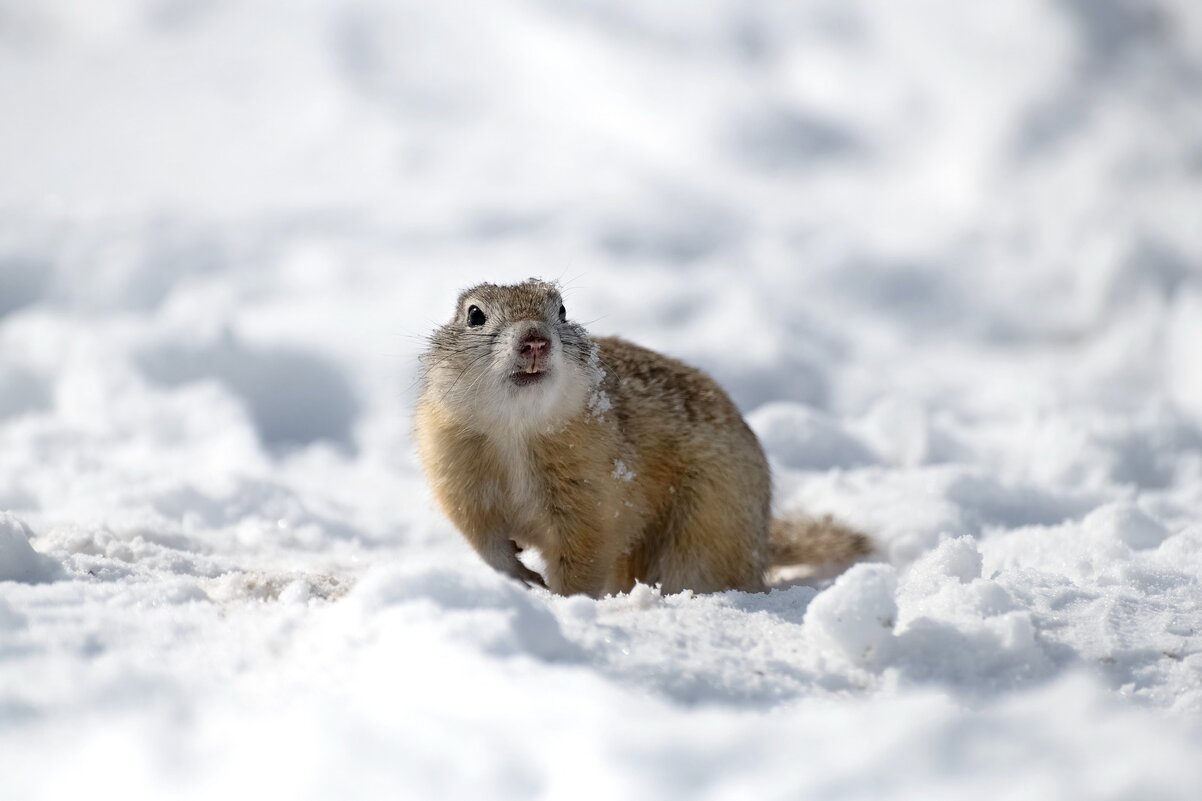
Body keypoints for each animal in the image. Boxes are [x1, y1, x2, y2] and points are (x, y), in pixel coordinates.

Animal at [418, 277, 870, 596]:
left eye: (562, 309)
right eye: (475, 315)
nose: (535, 340)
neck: (515, 430)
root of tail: (761, 549)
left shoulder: (593, 496)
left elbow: (582, 557)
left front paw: (565, 602)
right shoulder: (458, 479)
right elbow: (487, 542)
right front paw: (523, 577)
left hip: (703, 533)